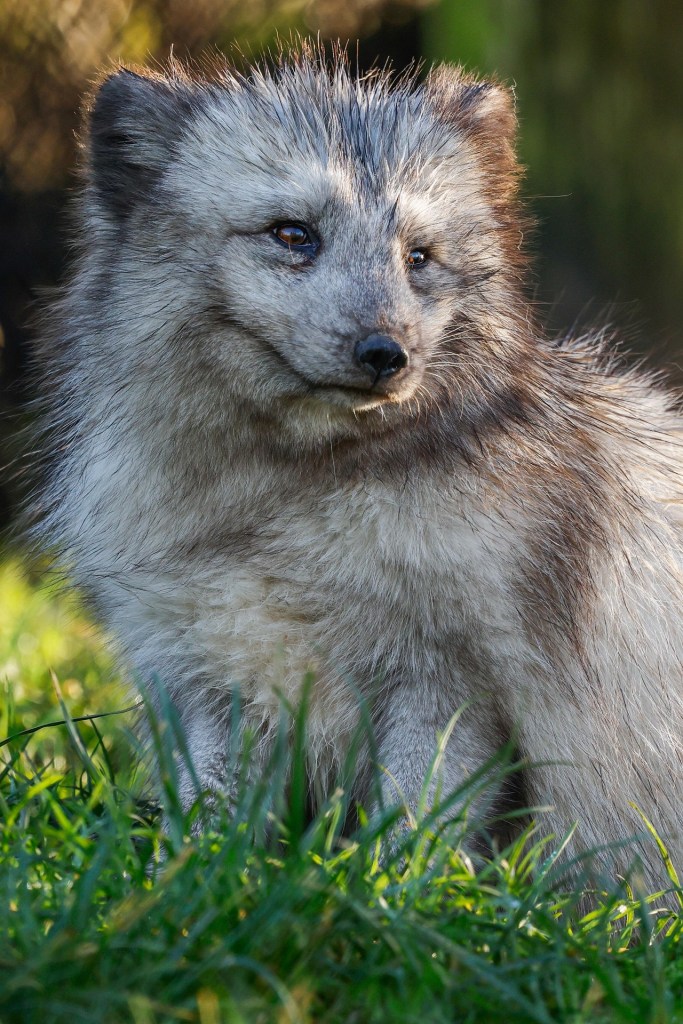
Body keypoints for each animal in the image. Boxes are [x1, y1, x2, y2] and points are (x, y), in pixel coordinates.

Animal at [31, 45, 683, 888]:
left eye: (418, 258)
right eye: (293, 234)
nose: (386, 354)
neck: (294, 506)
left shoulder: (452, 685)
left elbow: (418, 823)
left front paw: (392, 895)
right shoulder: (206, 675)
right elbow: (209, 815)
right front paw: (194, 883)